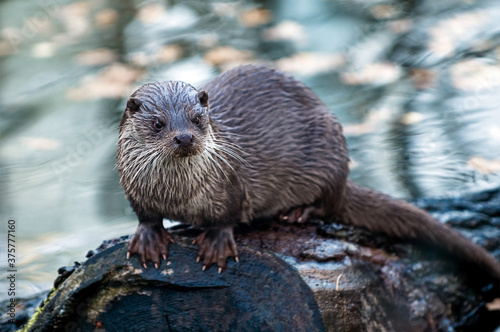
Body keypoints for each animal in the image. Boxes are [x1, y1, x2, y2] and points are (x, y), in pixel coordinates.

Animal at [116, 65, 500, 278]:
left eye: (197, 119)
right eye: (158, 123)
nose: (184, 137)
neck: (177, 195)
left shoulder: (230, 183)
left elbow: (227, 215)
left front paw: (215, 243)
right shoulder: (133, 188)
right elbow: (145, 216)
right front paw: (149, 238)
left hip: (328, 151)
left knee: (328, 203)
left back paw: (299, 212)